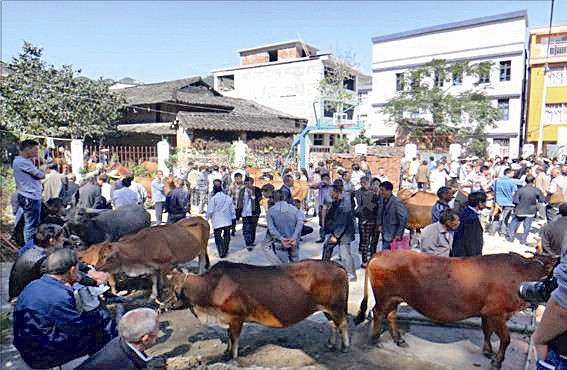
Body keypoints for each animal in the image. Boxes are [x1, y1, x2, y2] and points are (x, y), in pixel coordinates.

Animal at [80, 217, 211, 298]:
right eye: (98, 254)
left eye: (106, 256)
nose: (96, 267)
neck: (143, 247)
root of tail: (201, 219)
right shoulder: (151, 267)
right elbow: (154, 280)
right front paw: (153, 295)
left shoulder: (166, 264)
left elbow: (165, 280)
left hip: (203, 248)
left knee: (202, 261)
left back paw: (200, 274)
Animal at [164, 260, 350, 358]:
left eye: (168, 288)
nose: (163, 305)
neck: (212, 287)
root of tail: (336, 265)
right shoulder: (229, 319)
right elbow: (228, 336)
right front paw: (226, 352)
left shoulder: (236, 317)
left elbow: (234, 338)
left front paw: (233, 356)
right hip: (327, 308)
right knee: (333, 324)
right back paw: (331, 343)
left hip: (336, 307)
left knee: (343, 324)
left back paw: (345, 346)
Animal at [356, 250, 560, 368]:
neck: (523, 274)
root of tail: (381, 253)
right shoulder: (496, 313)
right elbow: (506, 338)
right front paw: (497, 360)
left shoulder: (488, 313)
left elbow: (487, 331)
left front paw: (488, 351)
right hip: (384, 296)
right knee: (377, 313)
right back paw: (375, 338)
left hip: (395, 298)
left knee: (390, 316)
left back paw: (399, 340)